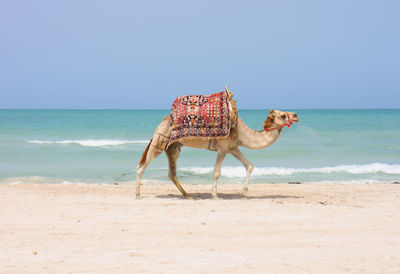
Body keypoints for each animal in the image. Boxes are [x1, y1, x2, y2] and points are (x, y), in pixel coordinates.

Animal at [136, 108, 298, 199]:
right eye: (283, 116)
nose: (296, 115)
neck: (241, 131)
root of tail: (162, 121)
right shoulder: (223, 147)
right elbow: (216, 173)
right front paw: (215, 195)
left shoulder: (233, 147)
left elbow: (249, 166)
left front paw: (244, 192)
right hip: (159, 140)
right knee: (141, 167)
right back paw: (138, 195)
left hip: (172, 148)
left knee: (172, 174)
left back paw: (188, 195)